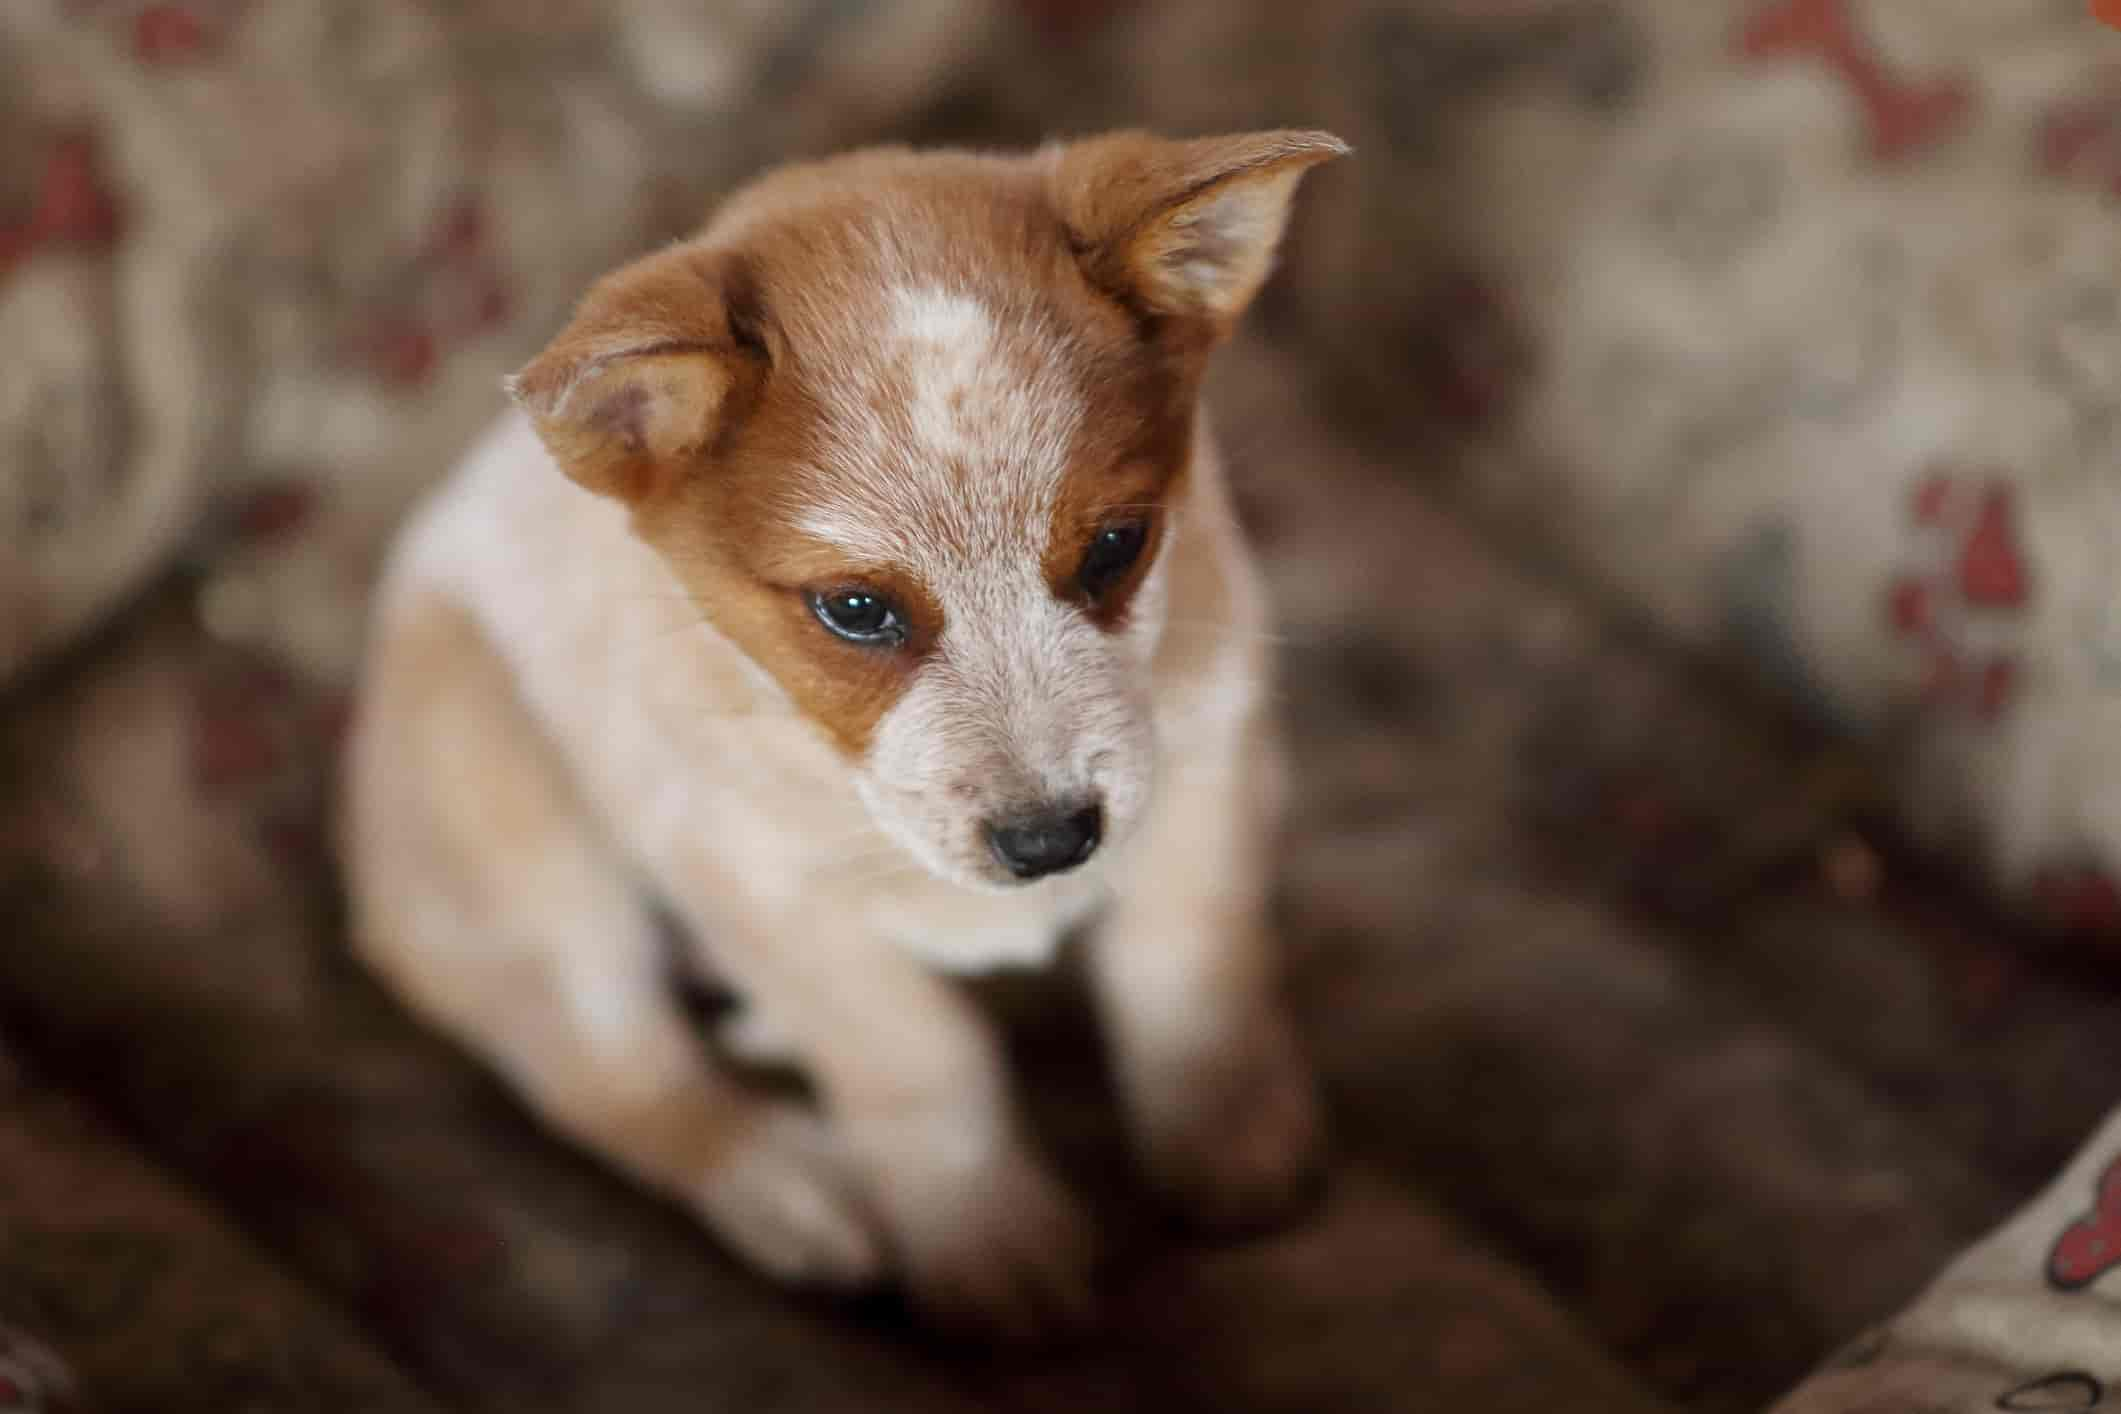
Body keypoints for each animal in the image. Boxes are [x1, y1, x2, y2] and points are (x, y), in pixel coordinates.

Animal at [343, 129, 1340, 1339]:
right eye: (857, 610)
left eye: (1116, 546)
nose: (1052, 843)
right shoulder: (753, 887)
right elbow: (916, 1051)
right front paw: (983, 1235)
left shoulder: (1210, 757)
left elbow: (1188, 961)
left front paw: (1227, 1133)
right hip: (510, 825)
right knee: (611, 1071)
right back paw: (798, 1189)